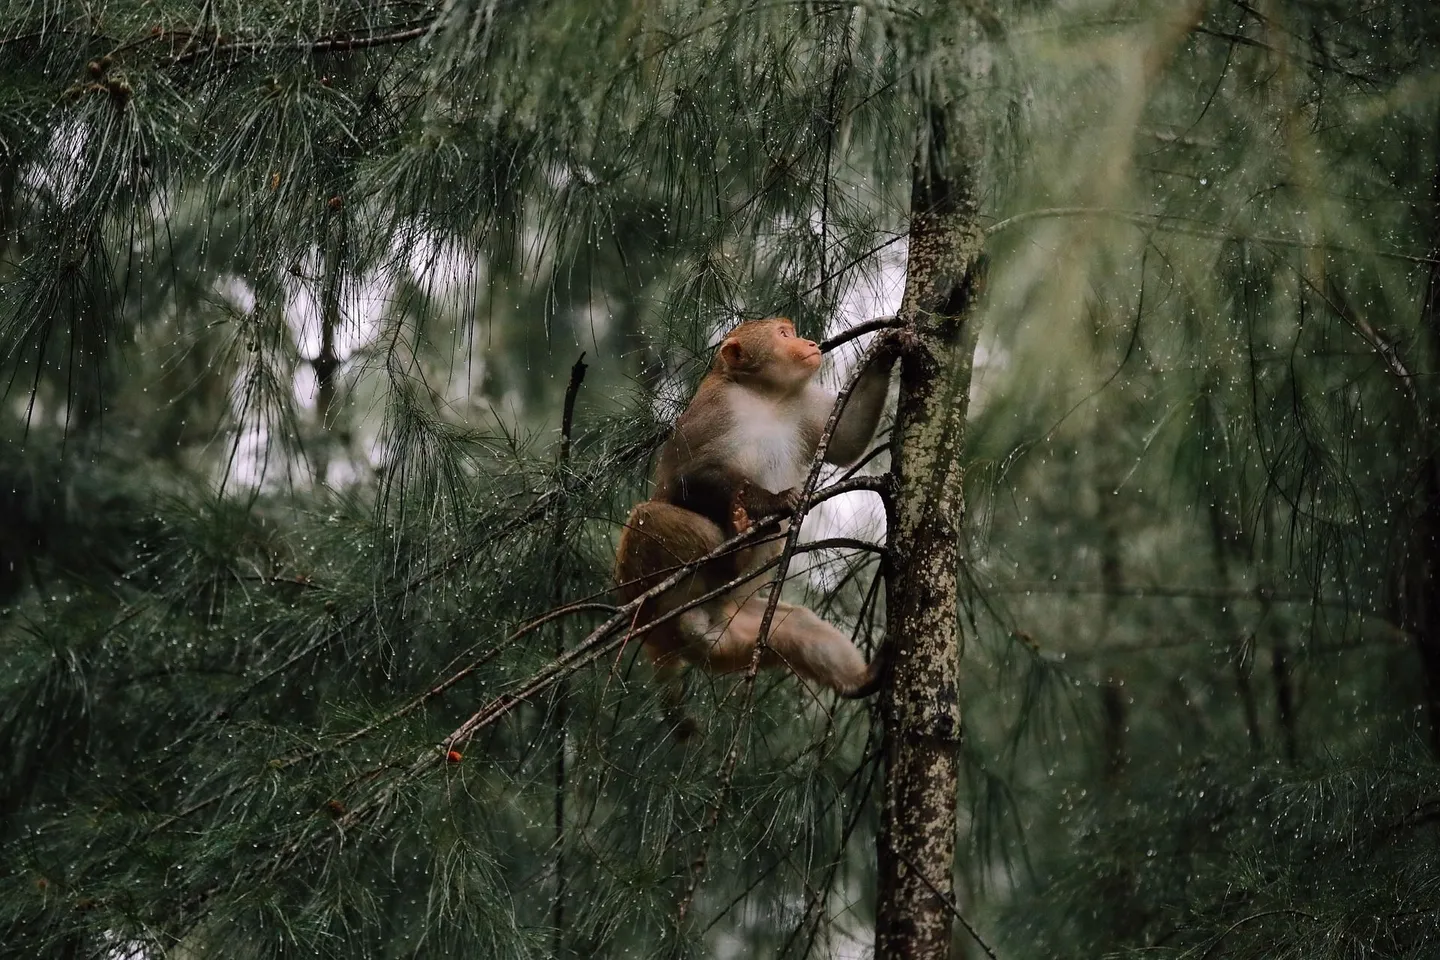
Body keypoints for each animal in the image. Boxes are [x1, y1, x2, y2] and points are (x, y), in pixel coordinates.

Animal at [615, 317, 898, 736]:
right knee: (645, 518)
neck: (766, 397)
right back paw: (734, 552)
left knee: (791, 629)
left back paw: (865, 677)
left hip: (734, 624)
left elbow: (846, 439)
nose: (808, 342)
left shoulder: (801, 405)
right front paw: (772, 501)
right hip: (652, 590)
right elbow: (685, 478)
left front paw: (886, 350)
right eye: (783, 335)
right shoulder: (715, 409)